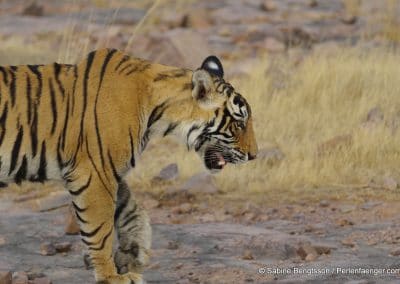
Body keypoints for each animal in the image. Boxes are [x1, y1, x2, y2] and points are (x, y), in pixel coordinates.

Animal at [0, 48, 256, 284]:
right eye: (239, 124)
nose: (254, 155)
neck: (157, 113)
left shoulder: (108, 170)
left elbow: (130, 208)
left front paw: (133, 252)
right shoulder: (95, 171)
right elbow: (100, 229)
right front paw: (111, 276)